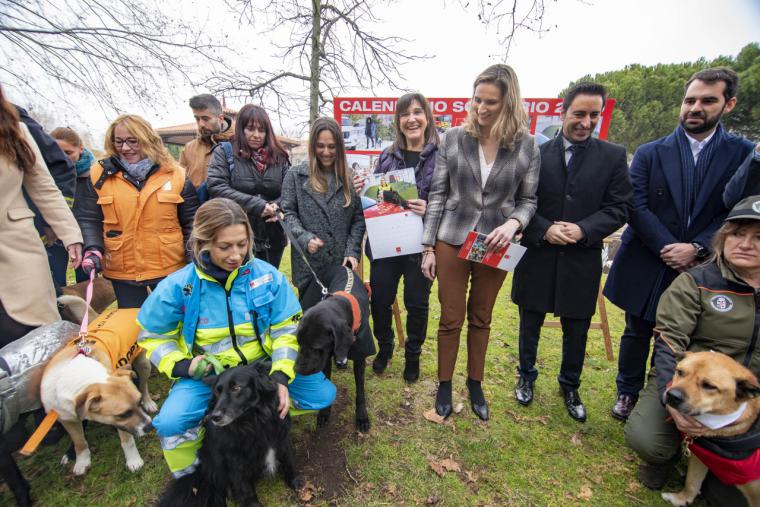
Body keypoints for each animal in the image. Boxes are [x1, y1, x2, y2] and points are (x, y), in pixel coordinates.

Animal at [40, 308, 157, 478]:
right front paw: (82, 462)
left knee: (143, 385)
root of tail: (122, 309)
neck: (77, 376)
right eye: (123, 414)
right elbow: (79, 442)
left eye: (138, 402)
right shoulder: (66, 419)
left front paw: (134, 461)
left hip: (143, 363)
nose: (150, 426)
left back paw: (149, 402)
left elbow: (127, 442)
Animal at [157, 364, 302, 506]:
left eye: (236, 388)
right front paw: (253, 504)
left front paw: (295, 481)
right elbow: (245, 487)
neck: (253, 422)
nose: (215, 417)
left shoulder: (281, 439)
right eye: (217, 391)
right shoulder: (234, 459)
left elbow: (288, 461)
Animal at [292, 264, 376, 434]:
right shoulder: (325, 359)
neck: (343, 302)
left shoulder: (360, 356)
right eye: (298, 342)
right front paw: (324, 413)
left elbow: (360, 391)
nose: (297, 369)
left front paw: (362, 417)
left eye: (316, 346)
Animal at [660, 354, 760, 507]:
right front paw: (681, 499)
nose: (672, 395)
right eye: (680, 372)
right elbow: (692, 482)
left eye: (709, 386)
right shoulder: (702, 458)